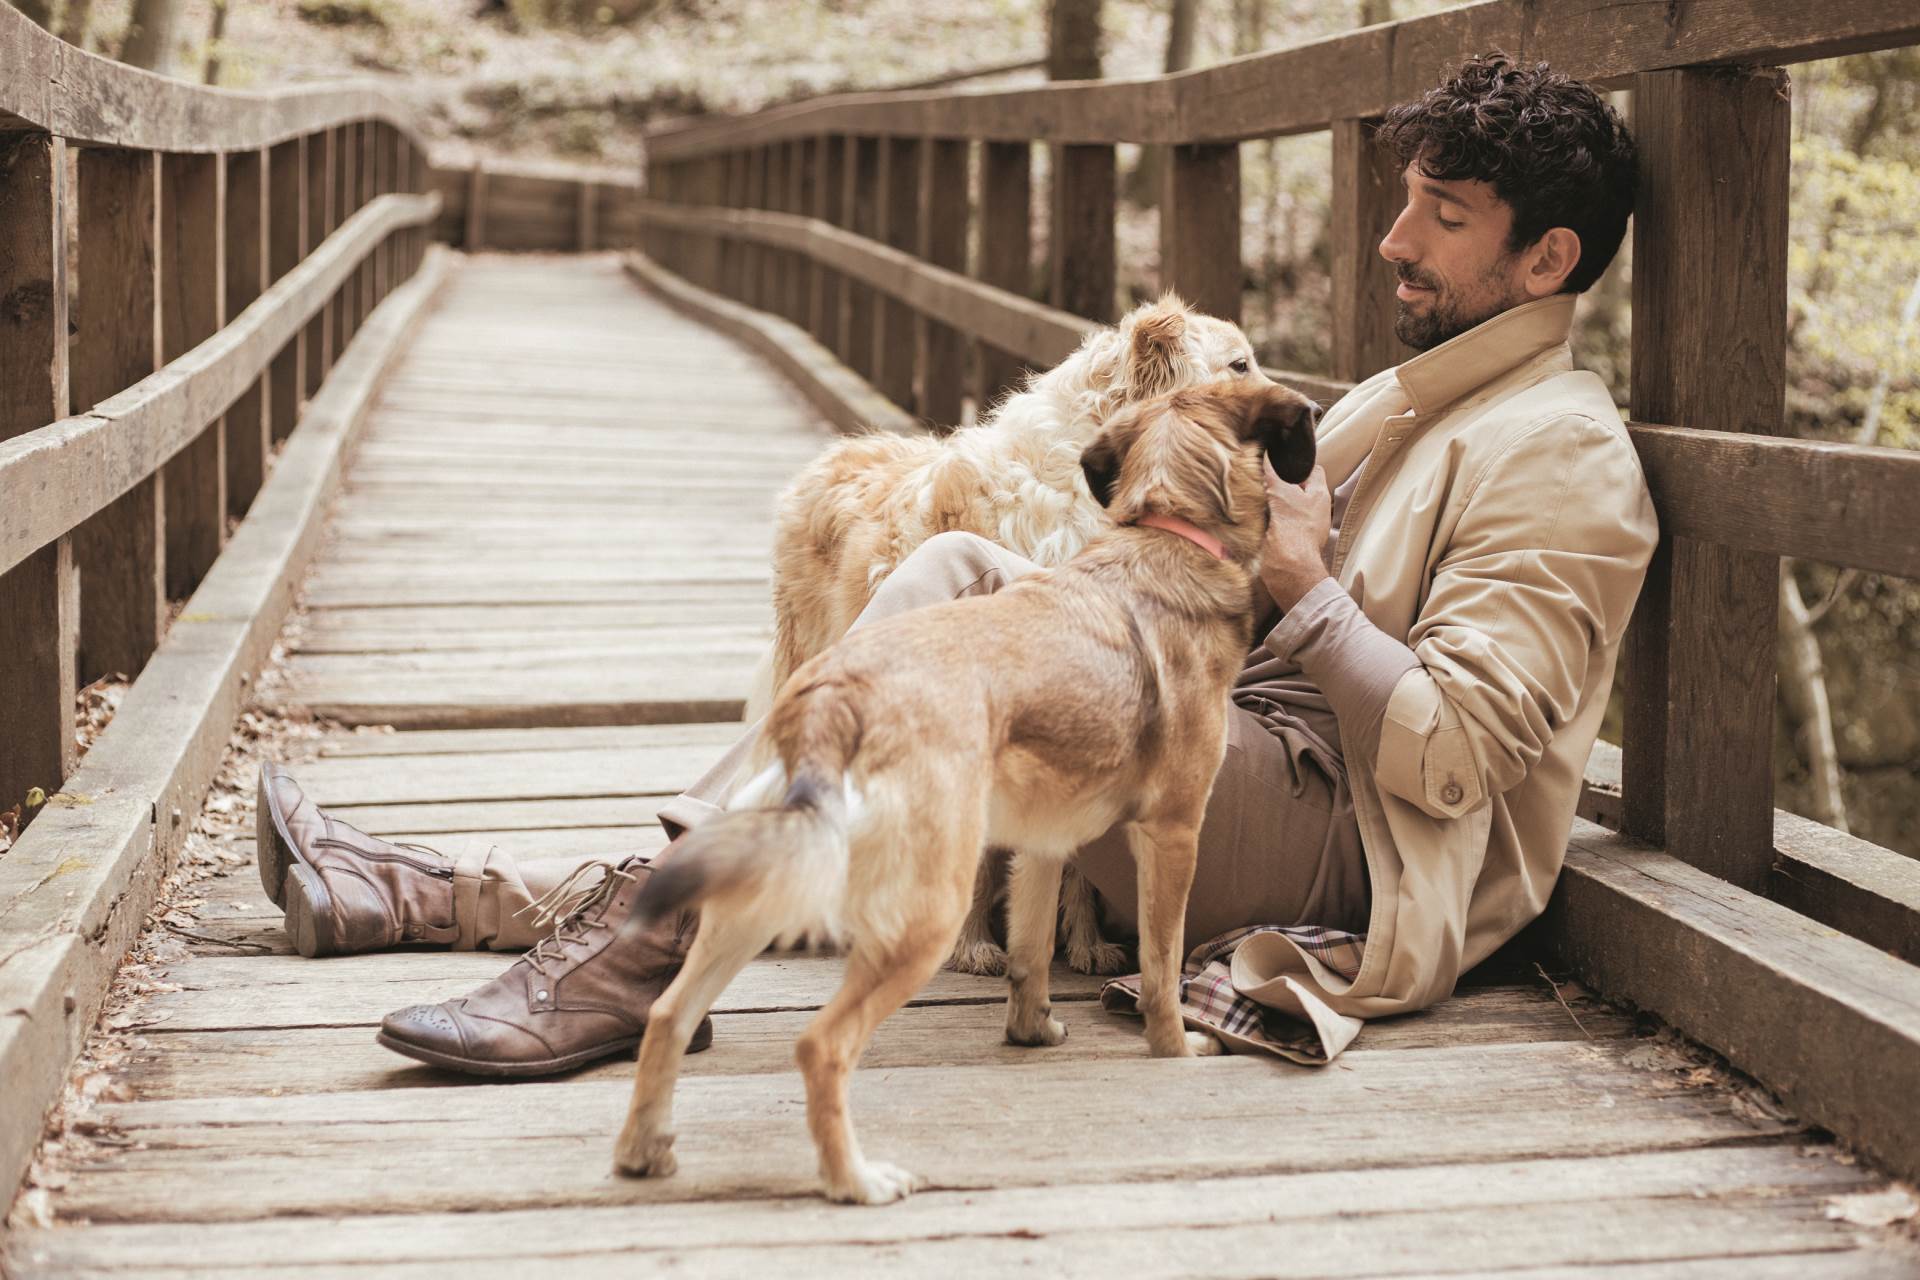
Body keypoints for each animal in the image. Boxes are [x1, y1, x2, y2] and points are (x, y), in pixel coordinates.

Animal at [614, 379, 1320, 1212]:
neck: (1165, 537)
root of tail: (837, 695)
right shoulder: (1175, 831)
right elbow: (1159, 966)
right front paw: (1176, 1047)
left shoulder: (1045, 844)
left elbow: (1031, 955)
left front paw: (1031, 1030)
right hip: (924, 908)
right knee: (822, 1045)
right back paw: (854, 1180)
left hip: (766, 887)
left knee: (669, 1013)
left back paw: (644, 1148)